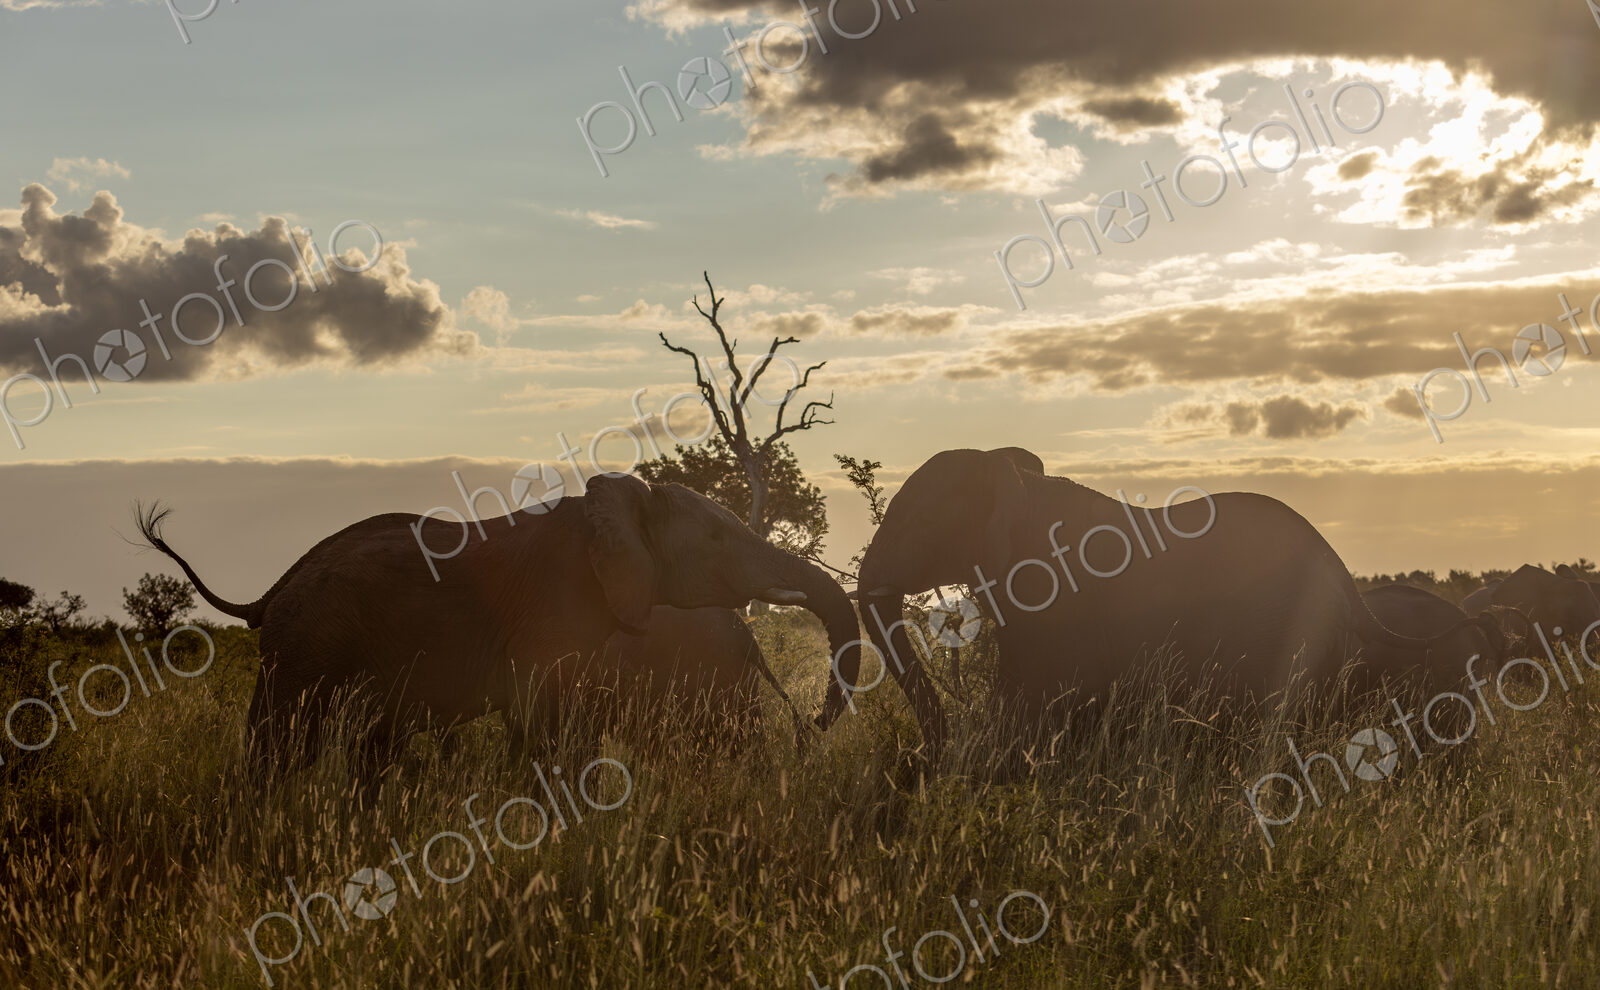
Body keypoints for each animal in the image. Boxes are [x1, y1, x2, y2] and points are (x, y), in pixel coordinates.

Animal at [134, 473, 859, 778]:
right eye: (714, 538)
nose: (816, 719)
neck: (612, 506)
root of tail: (270, 592)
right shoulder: (554, 607)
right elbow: (544, 725)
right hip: (304, 646)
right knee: (282, 747)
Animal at [828, 447, 1447, 756]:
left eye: (917, 522)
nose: (926, 753)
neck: (1019, 481)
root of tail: (1345, 578)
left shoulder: (1056, 592)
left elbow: (1036, 699)